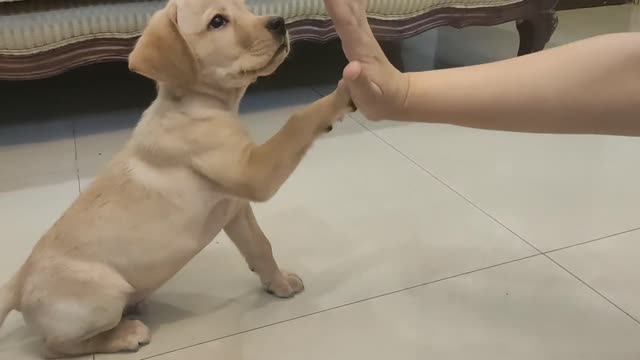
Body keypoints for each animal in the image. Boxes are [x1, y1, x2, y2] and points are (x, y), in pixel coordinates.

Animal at [0, 0, 356, 356]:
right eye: (217, 21)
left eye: (244, 8)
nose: (279, 23)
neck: (195, 103)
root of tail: (18, 282)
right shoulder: (254, 173)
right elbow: (298, 120)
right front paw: (343, 92)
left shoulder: (235, 208)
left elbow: (260, 246)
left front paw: (278, 283)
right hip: (103, 296)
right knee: (56, 345)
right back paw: (126, 334)